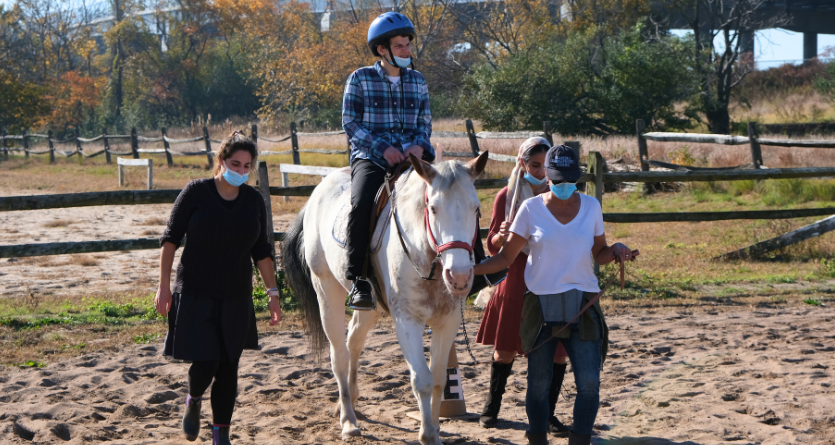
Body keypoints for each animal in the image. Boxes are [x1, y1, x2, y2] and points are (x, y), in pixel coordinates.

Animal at [282, 153, 490, 444]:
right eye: (433, 208)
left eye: (476, 209)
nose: (458, 276)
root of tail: (318, 191)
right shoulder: (407, 321)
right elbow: (422, 380)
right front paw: (427, 433)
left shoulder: (447, 322)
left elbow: (439, 378)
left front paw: (436, 430)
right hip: (326, 291)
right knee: (339, 355)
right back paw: (348, 420)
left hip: (370, 307)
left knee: (353, 341)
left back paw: (351, 400)